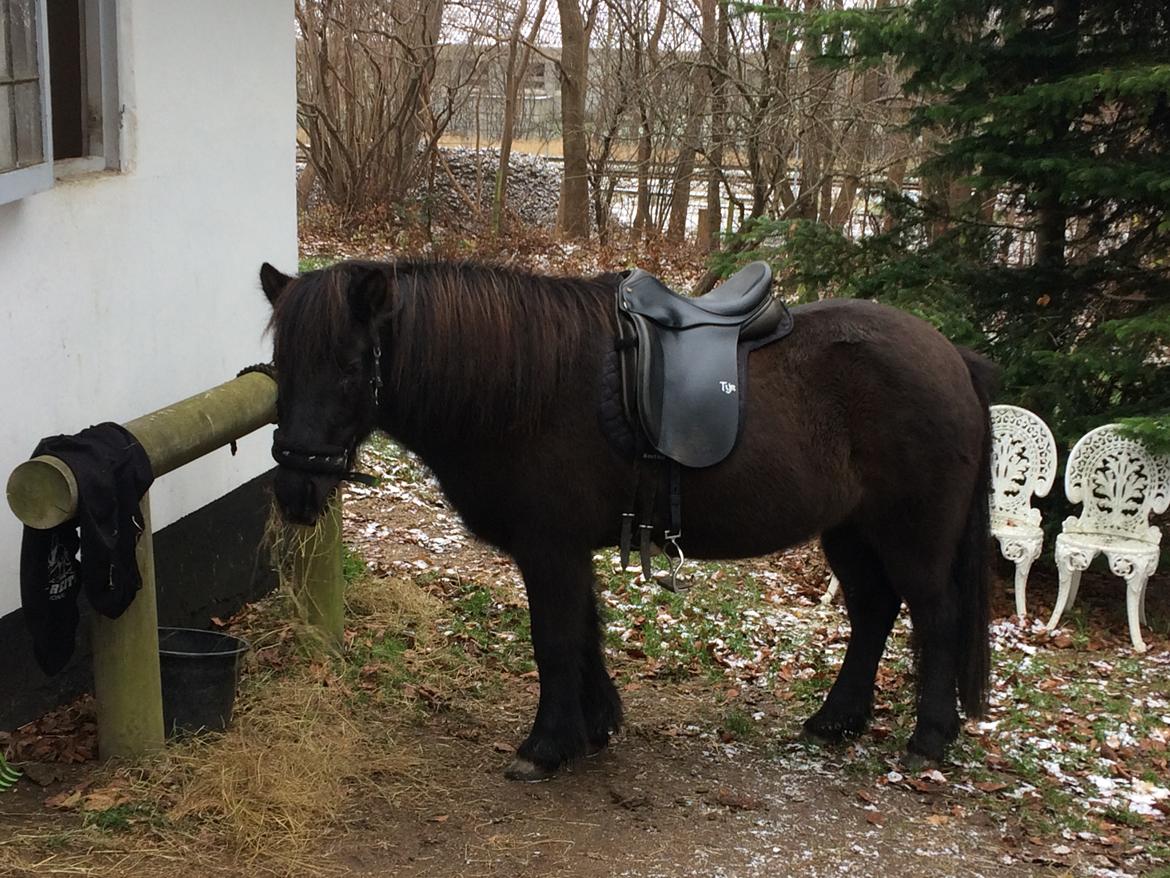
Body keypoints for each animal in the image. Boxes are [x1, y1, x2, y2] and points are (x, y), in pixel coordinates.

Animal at [258, 259, 996, 782]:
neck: (523, 385)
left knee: (933, 617)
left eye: (351, 367)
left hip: (914, 536)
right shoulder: (568, 548)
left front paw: (546, 745)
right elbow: (585, 631)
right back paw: (836, 720)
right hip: (851, 531)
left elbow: (554, 639)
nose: (295, 489)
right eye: (279, 368)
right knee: (873, 612)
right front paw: (595, 726)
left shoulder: (550, 547)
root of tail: (952, 356)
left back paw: (929, 738)